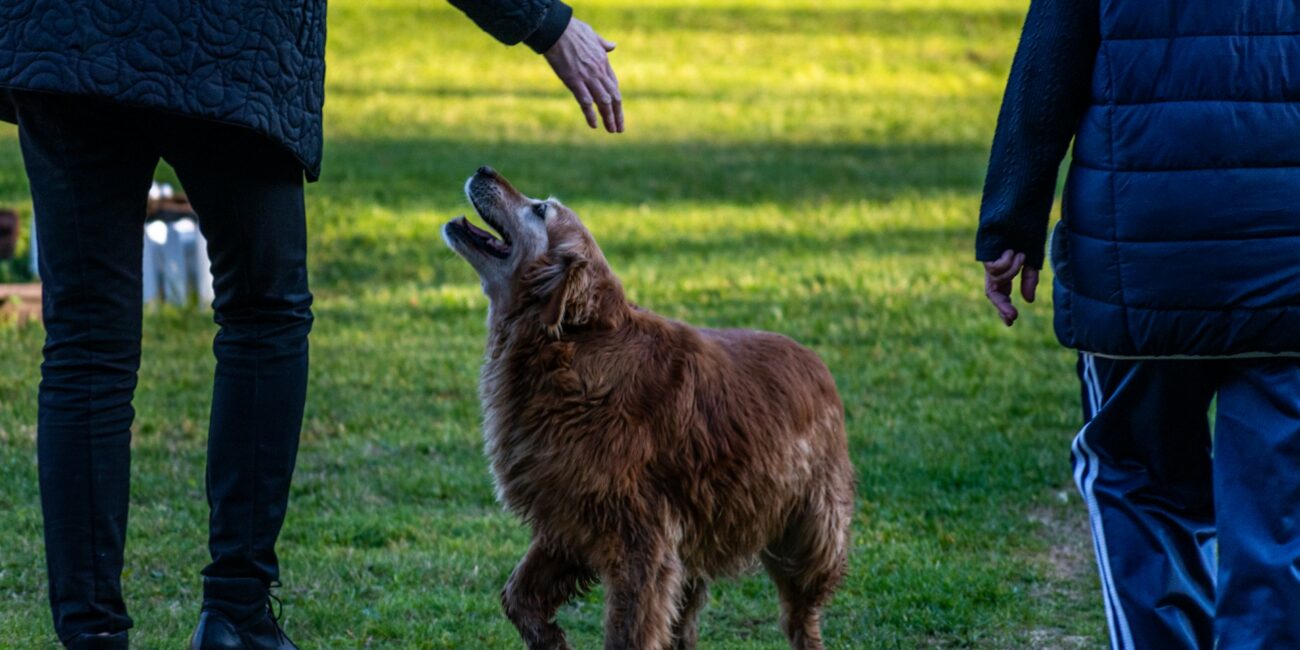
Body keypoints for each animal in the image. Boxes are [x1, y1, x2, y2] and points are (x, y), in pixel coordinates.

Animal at [447, 169, 852, 650]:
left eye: (541, 209)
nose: (484, 171)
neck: (575, 345)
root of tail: (817, 362)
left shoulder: (640, 543)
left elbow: (628, 632)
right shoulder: (567, 521)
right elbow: (517, 596)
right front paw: (549, 639)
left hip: (809, 537)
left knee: (800, 616)